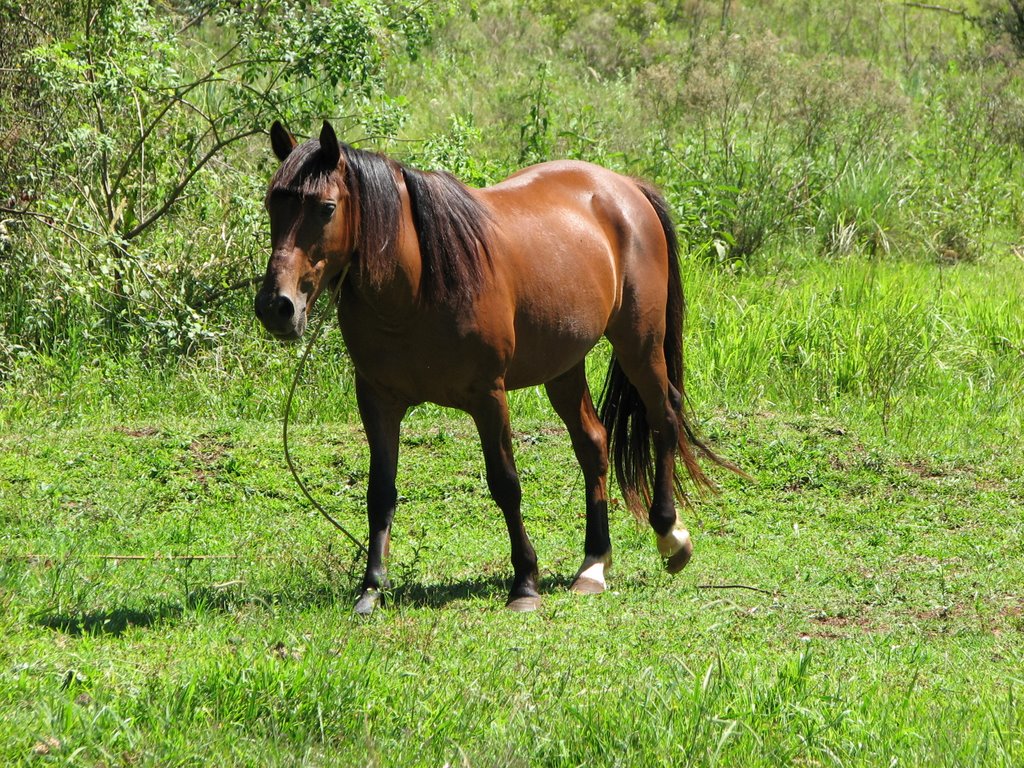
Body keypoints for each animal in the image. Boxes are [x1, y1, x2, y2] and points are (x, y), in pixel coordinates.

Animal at [254, 118, 737, 614]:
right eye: (273, 203)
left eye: (327, 208)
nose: (276, 307)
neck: (418, 284)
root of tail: (626, 188)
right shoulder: (377, 399)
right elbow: (380, 491)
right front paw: (371, 588)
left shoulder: (488, 396)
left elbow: (506, 484)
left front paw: (525, 583)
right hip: (563, 367)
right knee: (594, 443)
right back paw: (594, 564)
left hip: (639, 344)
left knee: (664, 418)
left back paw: (670, 535)